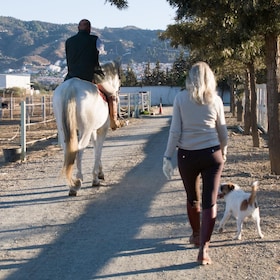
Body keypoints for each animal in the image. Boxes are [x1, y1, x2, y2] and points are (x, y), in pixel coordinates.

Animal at [53, 61, 120, 196]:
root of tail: (71, 87)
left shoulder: (93, 131)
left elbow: (95, 147)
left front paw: (99, 172)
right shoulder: (102, 130)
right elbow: (98, 149)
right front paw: (96, 177)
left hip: (63, 129)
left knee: (67, 150)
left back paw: (72, 184)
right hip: (85, 130)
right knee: (78, 150)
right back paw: (77, 182)